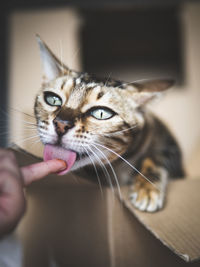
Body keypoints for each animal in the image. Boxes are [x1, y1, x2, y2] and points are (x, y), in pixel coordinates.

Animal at [34, 36, 184, 214]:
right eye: (53, 99)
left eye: (101, 113)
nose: (61, 124)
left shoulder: (170, 147)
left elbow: (155, 157)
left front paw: (147, 189)